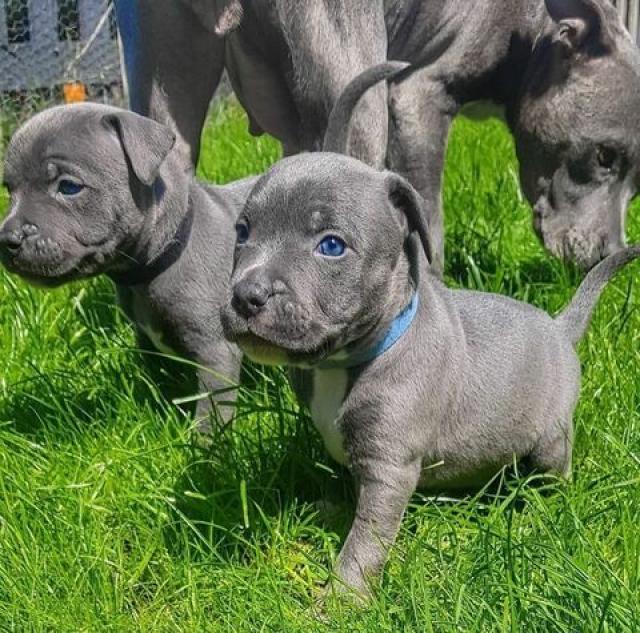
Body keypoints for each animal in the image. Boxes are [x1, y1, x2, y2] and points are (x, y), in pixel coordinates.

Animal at [0, 103, 254, 430]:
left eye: (69, 187)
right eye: (9, 191)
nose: (7, 239)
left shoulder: (216, 353)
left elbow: (210, 414)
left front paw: (205, 443)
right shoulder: (146, 341)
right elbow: (158, 384)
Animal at [221, 151, 640, 596]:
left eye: (331, 245)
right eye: (243, 232)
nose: (245, 296)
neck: (344, 361)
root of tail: (560, 328)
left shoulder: (391, 467)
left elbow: (366, 541)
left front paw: (342, 597)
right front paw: (328, 508)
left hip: (551, 440)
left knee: (554, 473)